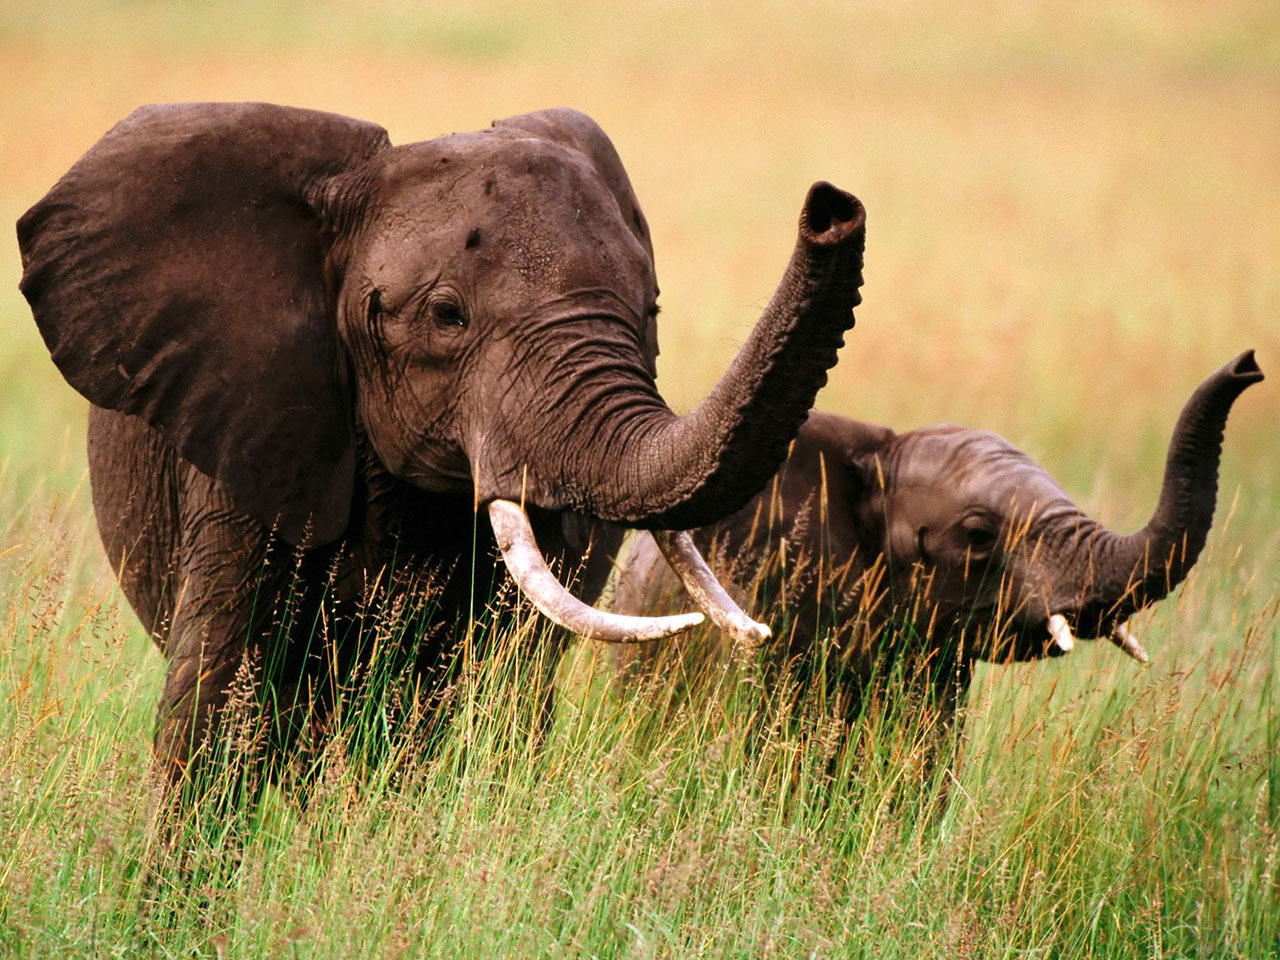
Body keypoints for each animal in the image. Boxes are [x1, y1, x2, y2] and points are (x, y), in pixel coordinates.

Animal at [15, 103, 865, 783]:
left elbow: (485, 690)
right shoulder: (249, 425)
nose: (832, 207)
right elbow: (219, 698)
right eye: (447, 316)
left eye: (649, 307)